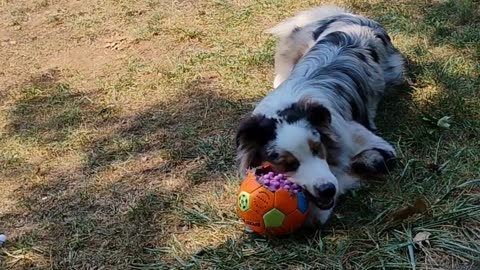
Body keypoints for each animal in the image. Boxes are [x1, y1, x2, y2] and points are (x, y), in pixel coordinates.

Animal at [234, 5, 404, 227]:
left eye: (317, 149)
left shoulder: (380, 147)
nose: (327, 190)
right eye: (288, 164)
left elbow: (358, 165)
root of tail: (350, 16)